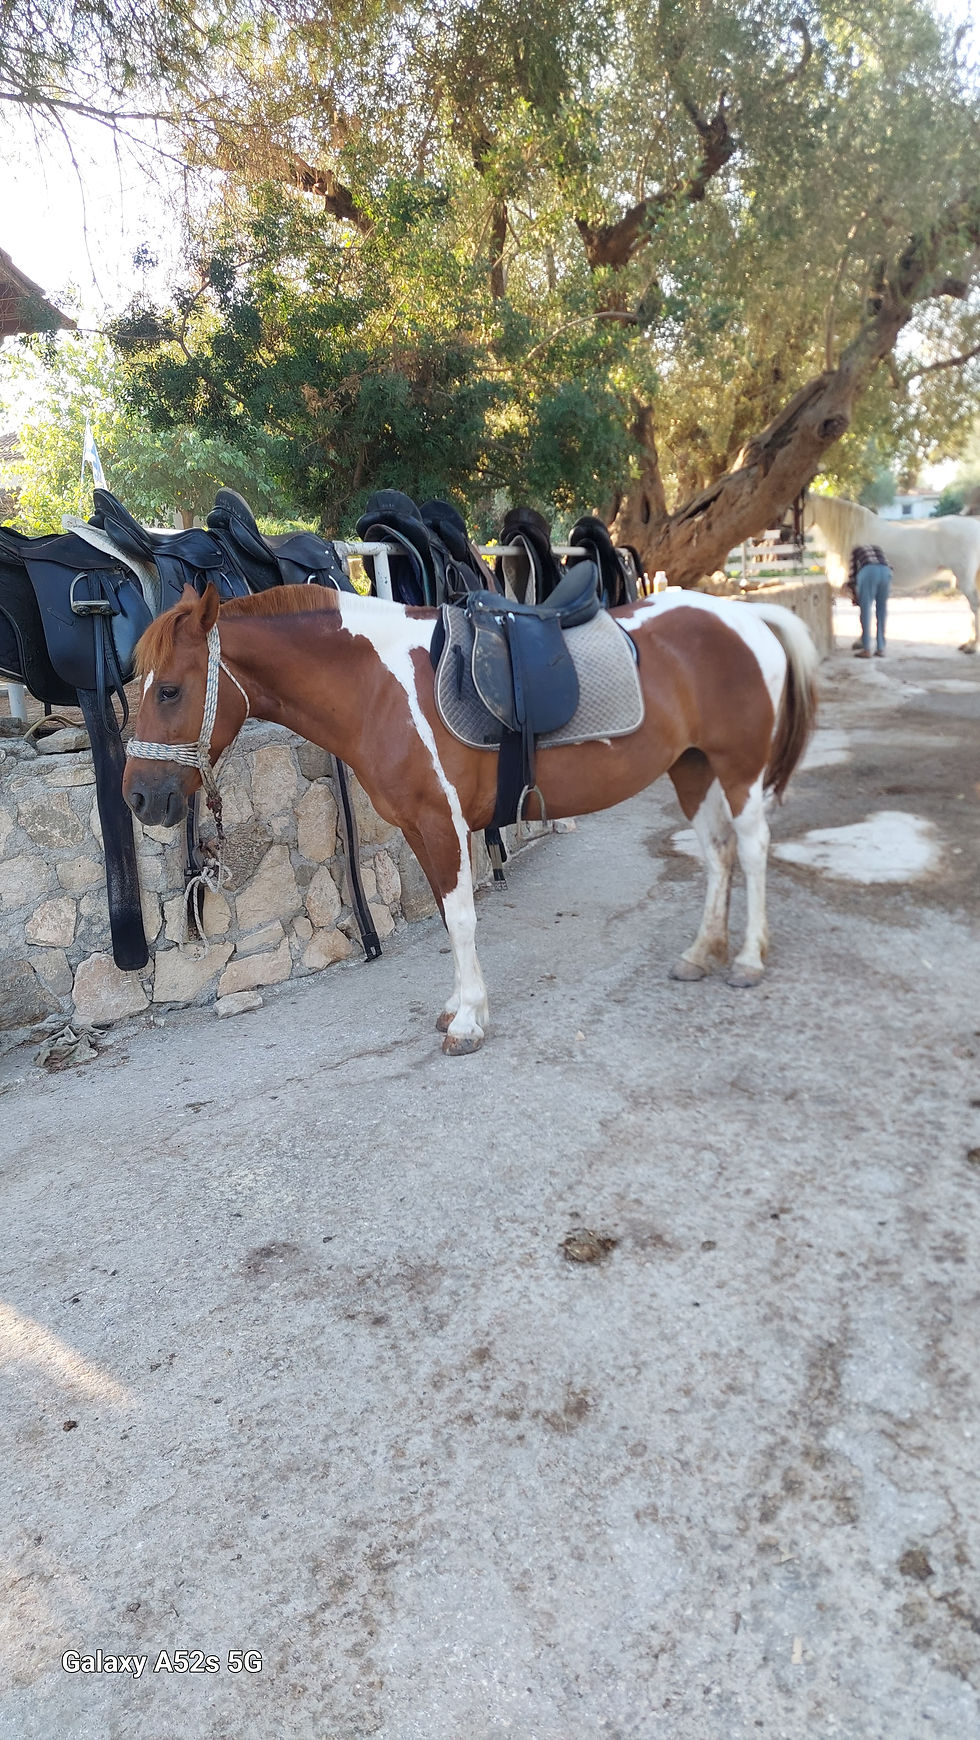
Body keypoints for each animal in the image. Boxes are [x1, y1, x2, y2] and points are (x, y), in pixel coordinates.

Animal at [122, 582, 819, 1054]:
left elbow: (459, 918)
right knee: (717, 853)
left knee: (751, 850)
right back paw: (702, 952)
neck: (379, 687)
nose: (138, 798)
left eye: (170, 690)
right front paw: (459, 1005)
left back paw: (748, 960)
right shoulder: (419, 829)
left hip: (738, 769)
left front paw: (467, 1022)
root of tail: (745, 614)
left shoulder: (441, 823)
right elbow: (443, 911)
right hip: (692, 767)